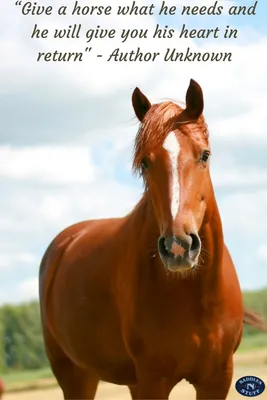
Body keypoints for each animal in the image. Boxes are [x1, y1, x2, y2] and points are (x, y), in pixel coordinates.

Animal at [38, 79, 266, 398]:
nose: (178, 247)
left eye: (204, 155)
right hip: (74, 375)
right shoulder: (153, 379)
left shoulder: (217, 378)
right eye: (145, 162)